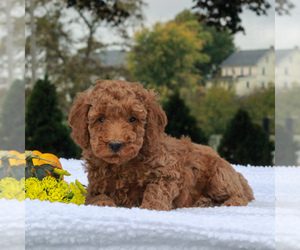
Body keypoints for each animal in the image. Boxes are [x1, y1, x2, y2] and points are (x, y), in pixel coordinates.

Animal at [69, 79, 254, 210]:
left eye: (132, 119)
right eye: (101, 119)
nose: (115, 144)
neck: (123, 165)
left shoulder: (168, 172)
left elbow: (156, 190)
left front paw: (151, 207)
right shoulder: (96, 185)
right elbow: (96, 197)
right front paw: (104, 204)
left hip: (219, 176)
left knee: (240, 196)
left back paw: (223, 202)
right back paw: (204, 201)